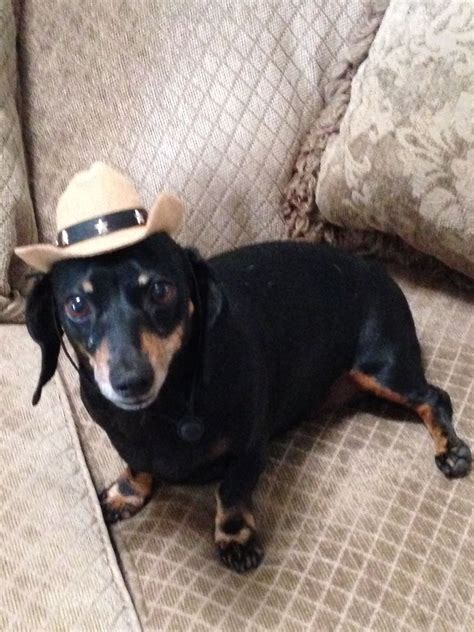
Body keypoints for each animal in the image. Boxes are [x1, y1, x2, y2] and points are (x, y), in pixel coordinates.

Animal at [25, 236, 470, 572]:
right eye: (76, 305)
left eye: (160, 290)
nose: (131, 381)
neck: (162, 410)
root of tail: (377, 271)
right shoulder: (123, 437)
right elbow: (137, 465)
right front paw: (125, 494)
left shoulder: (250, 448)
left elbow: (232, 492)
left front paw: (235, 538)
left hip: (383, 368)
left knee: (434, 398)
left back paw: (451, 450)